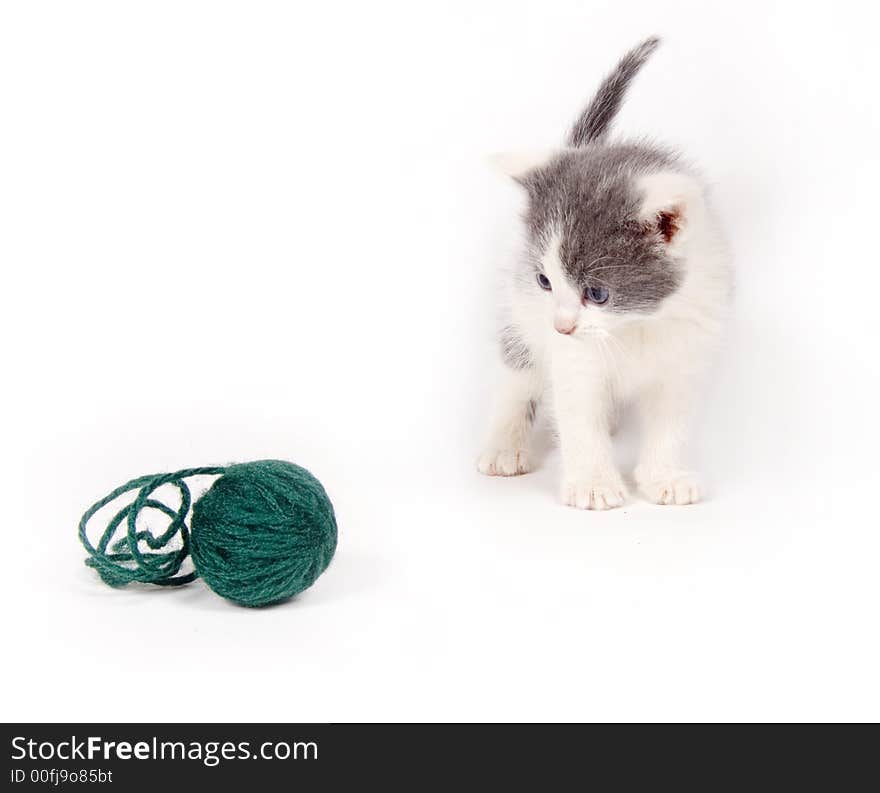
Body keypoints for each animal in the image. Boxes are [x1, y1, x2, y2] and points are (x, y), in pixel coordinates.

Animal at [478, 35, 732, 508]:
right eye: (545, 280)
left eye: (597, 293)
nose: (561, 326)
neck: (634, 325)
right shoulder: (571, 357)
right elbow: (578, 414)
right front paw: (594, 483)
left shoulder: (687, 353)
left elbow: (670, 422)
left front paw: (665, 476)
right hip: (520, 315)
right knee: (518, 371)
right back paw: (504, 445)